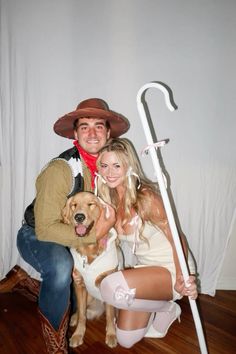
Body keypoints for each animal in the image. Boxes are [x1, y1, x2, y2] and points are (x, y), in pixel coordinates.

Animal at [62, 192, 119, 348]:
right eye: (74, 205)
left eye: (91, 204)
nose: (79, 217)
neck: (89, 249)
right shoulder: (79, 285)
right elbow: (82, 314)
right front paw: (78, 334)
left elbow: (110, 315)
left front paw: (111, 334)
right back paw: (73, 318)